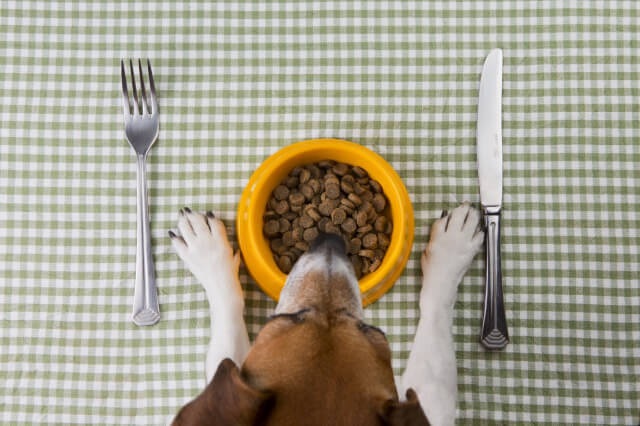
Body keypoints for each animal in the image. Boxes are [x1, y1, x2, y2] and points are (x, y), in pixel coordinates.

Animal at [168, 203, 482, 426]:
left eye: (370, 330)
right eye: (291, 317)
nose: (330, 239)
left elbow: (435, 310)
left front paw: (452, 248)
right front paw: (207, 250)